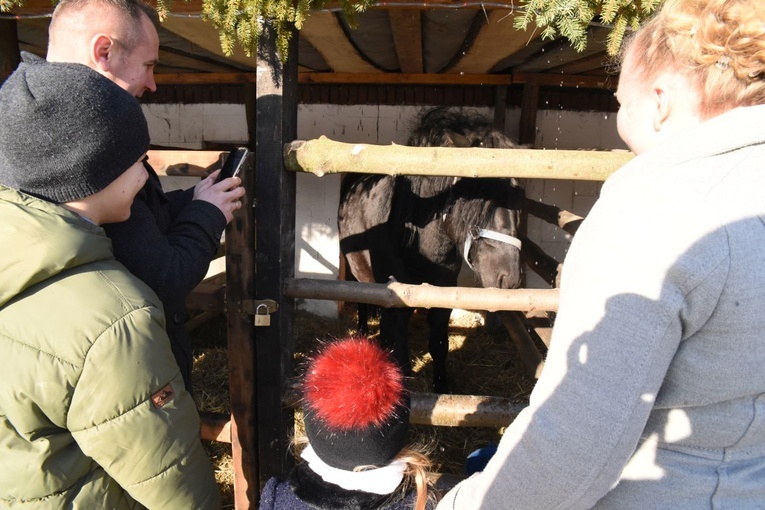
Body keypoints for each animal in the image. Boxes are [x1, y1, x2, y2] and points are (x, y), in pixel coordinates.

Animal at [338, 107, 524, 390]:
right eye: (480, 194)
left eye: (519, 198)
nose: (509, 278)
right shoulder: (396, 301)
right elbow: (400, 352)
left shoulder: (442, 296)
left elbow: (438, 345)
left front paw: (441, 389)